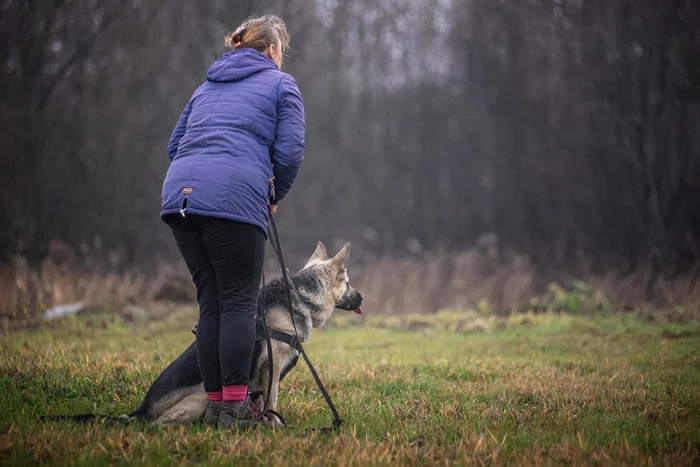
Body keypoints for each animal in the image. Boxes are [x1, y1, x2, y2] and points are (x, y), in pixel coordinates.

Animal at [54, 243, 360, 430]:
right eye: (347, 282)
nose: (362, 298)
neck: (298, 294)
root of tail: (141, 410)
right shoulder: (269, 367)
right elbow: (271, 401)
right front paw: (275, 427)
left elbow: (262, 400)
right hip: (201, 396)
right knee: (159, 425)